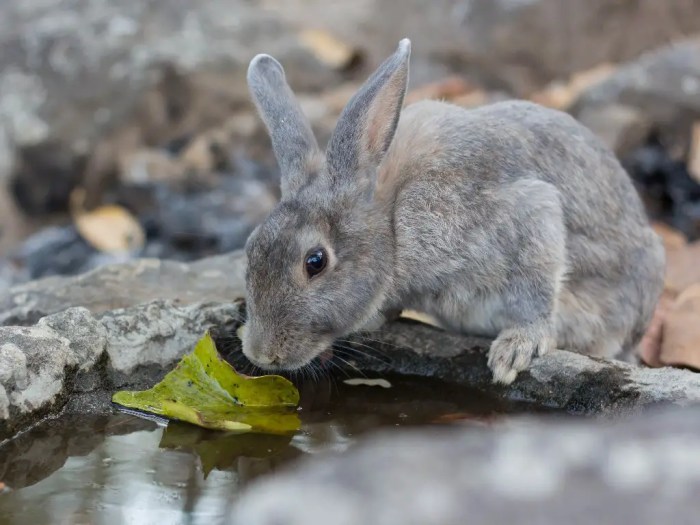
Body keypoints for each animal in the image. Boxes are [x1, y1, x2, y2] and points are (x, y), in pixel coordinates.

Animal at [241, 35, 668, 380]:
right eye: (250, 248)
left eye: (315, 262)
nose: (262, 354)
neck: (393, 225)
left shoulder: (528, 212)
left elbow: (537, 282)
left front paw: (516, 349)